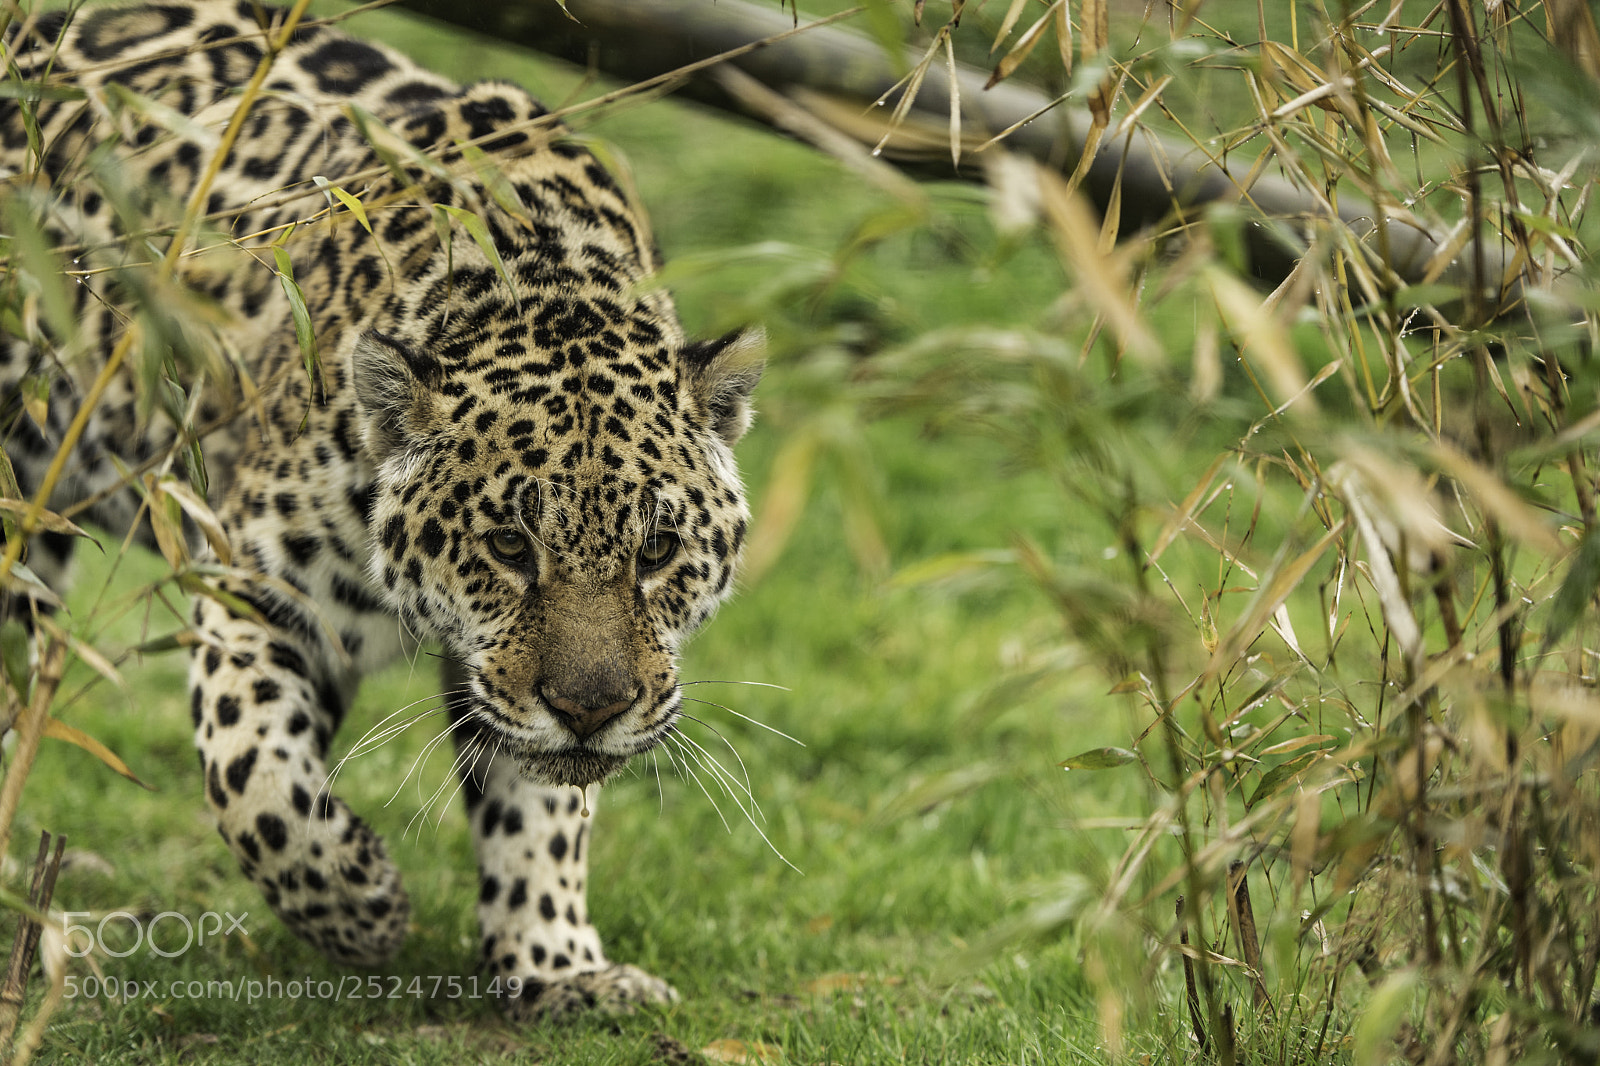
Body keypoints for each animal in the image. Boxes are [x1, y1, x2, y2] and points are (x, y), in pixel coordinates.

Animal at [0, 0, 762, 1018]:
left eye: (658, 551)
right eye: (509, 546)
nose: (591, 711)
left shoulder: (506, 684)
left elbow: (541, 801)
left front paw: (556, 963)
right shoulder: (258, 591)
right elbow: (257, 776)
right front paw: (361, 903)